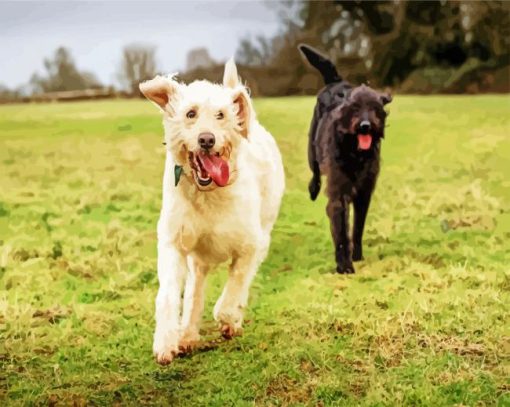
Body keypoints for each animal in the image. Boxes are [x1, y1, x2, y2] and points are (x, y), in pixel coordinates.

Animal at [139, 58, 284, 366]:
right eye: (190, 113)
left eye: (221, 115)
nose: (207, 139)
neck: (208, 194)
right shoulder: (174, 242)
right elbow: (169, 295)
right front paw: (166, 342)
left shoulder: (253, 245)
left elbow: (237, 282)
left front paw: (228, 317)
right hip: (198, 259)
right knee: (195, 292)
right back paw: (187, 335)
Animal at [298, 43, 394, 274]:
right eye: (355, 108)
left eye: (375, 109)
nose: (365, 126)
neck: (355, 152)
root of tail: (336, 81)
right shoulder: (339, 193)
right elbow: (341, 230)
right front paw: (344, 265)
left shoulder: (364, 193)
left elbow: (357, 227)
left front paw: (356, 255)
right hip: (312, 148)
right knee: (315, 171)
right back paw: (313, 189)